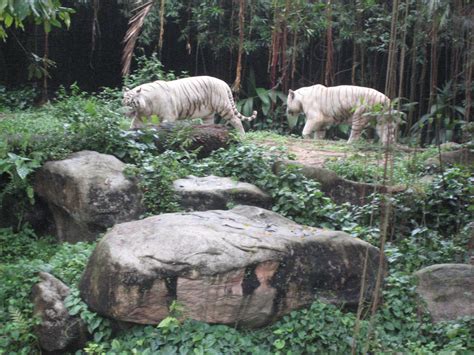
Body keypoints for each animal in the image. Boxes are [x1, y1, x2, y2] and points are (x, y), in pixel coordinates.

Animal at [122, 76, 256, 136]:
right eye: (123, 102)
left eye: (131, 103)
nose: (124, 112)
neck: (146, 104)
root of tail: (223, 83)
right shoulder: (140, 115)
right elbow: (133, 124)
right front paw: (128, 133)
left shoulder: (168, 116)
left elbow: (164, 127)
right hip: (208, 114)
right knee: (209, 124)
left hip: (223, 106)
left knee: (236, 119)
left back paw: (242, 136)